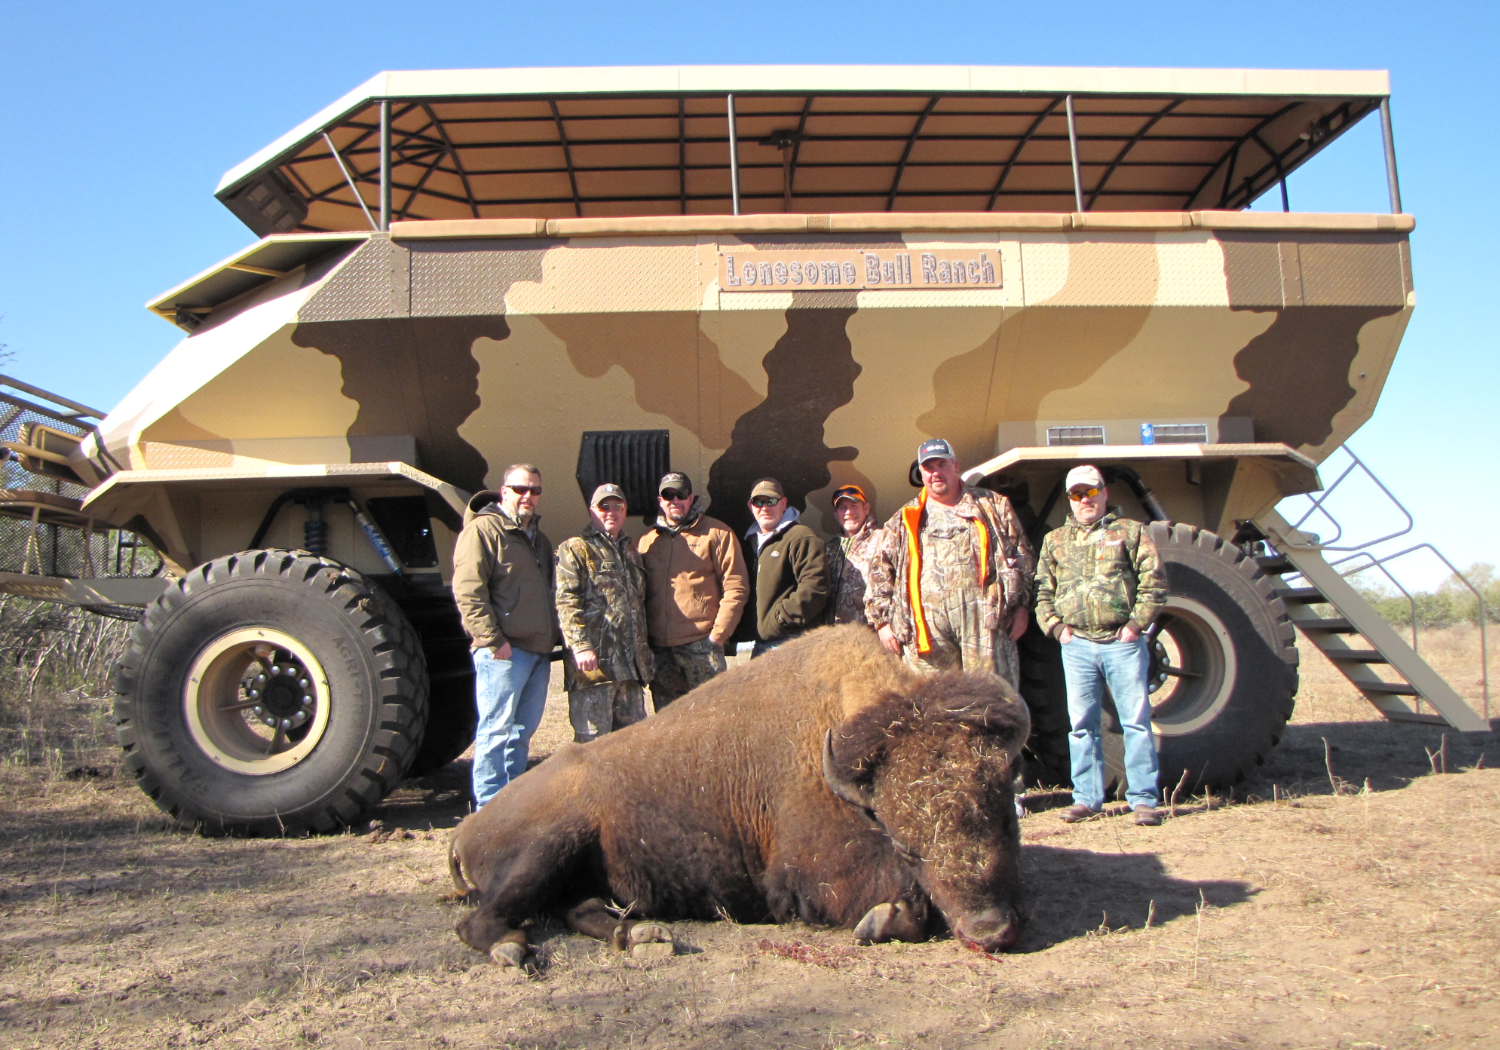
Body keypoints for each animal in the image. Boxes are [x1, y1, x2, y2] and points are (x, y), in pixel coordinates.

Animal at [447, 624, 1032, 966]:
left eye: (1004, 819)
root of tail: (466, 828)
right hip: (547, 848)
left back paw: (641, 937)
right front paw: (879, 921)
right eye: (908, 846)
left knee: (579, 908)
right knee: (479, 920)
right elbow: (909, 905)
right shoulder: (804, 879)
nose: (990, 931)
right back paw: (512, 950)